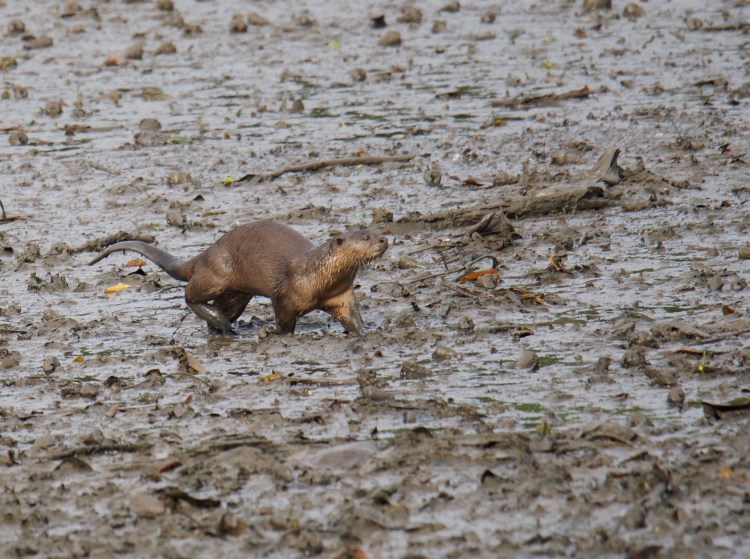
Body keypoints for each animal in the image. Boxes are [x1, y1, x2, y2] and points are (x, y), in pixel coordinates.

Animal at [88, 221, 388, 335]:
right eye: (365, 237)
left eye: (376, 231)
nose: (384, 239)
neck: (316, 276)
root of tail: (204, 253)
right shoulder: (285, 296)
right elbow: (284, 322)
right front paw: (279, 335)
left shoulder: (340, 295)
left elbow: (352, 317)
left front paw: (365, 331)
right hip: (216, 273)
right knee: (189, 295)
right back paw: (221, 322)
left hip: (236, 294)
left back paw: (220, 325)